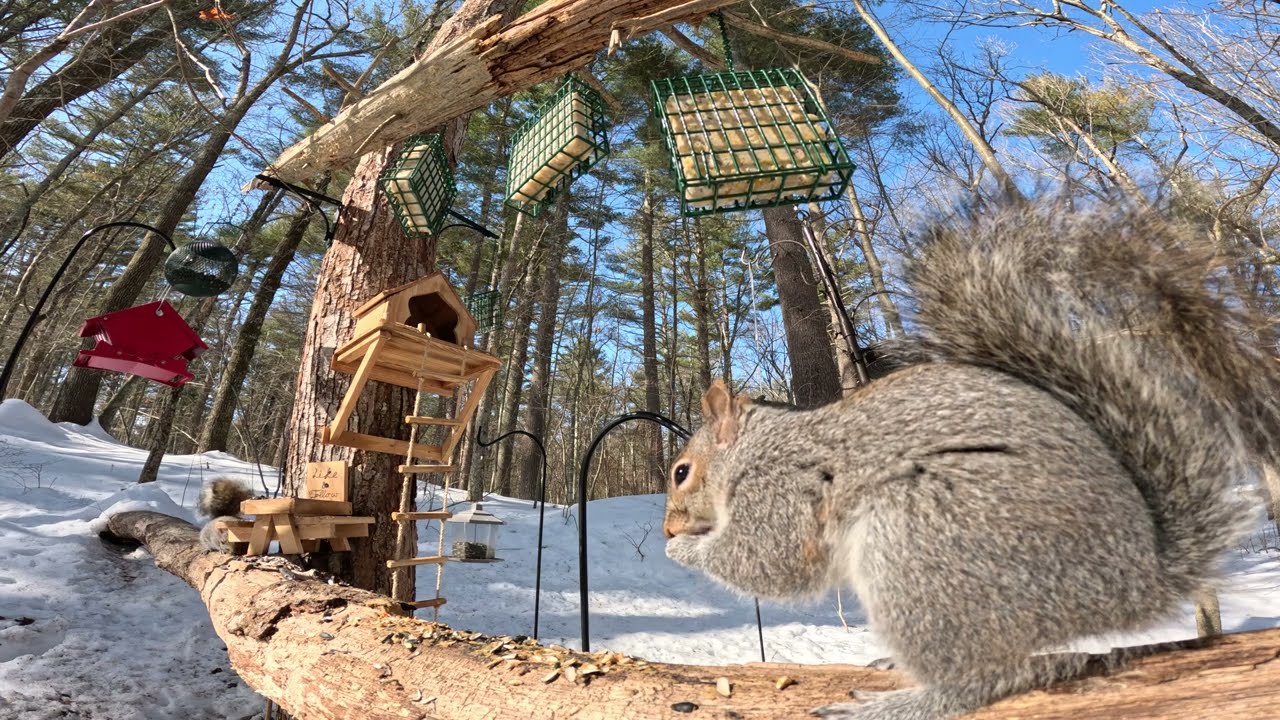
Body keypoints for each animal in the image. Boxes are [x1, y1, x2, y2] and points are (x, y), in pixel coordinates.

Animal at [663, 204, 1273, 720]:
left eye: (681, 472)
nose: (667, 526)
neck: (755, 451)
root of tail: (1132, 582)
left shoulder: (781, 490)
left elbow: (767, 559)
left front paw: (685, 550)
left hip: (922, 548)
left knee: (983, 680)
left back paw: (894, 704)